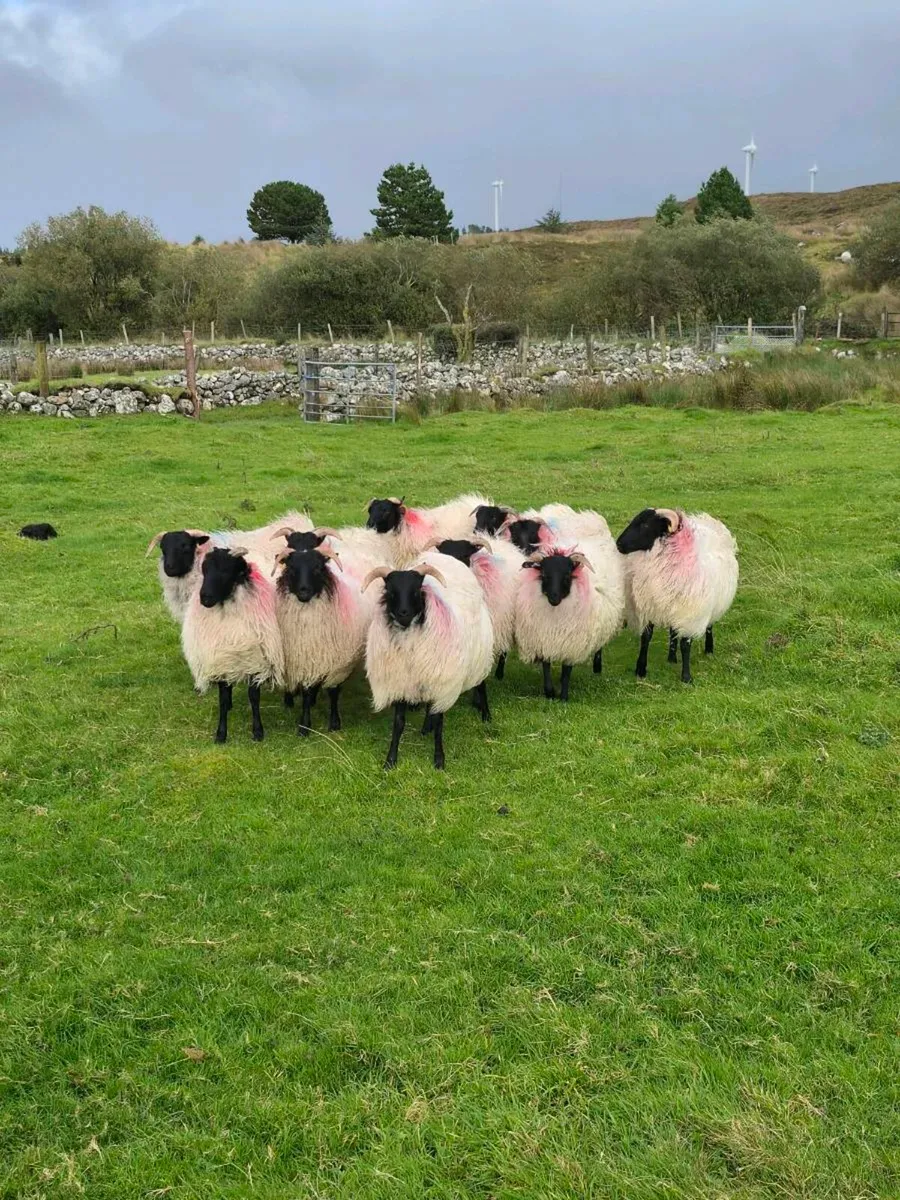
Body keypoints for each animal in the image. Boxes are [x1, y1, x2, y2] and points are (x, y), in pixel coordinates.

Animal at [181, 545, 284, 742]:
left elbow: (254, 697)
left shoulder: (256, 660)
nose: (205, 598)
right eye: (204, 569)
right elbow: (222, 698)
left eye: (227, 570)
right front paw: (221, 733)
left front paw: (258, 731)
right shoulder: (221, 659)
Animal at [271, 542, 379, 736]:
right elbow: (306, 693)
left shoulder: (339, 663)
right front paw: (304, 725)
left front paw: (334, 723)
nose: (304, 591)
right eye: (291, 568)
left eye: (317, 568)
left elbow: (333, 692)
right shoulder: (304, 659)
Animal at [362, 552, 494, 770]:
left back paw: (486, 716)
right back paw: (426, 727)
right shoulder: (401, 682)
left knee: (480, 684)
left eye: (416, 590)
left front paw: (439, 759)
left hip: (478, 656)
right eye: (391, 591)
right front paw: (390, 760)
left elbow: (440, 723)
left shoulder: (442, 683)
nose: (403, 613)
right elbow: (399, 723)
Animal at [514, 528, 626, 701]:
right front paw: (550, 693)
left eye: (567, 575)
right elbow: (546, 666)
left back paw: (597, 667)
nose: (554, 598)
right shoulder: (543, 637)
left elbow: (567, 671)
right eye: (544, 575)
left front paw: (564, 697)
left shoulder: (573, 641)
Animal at [616, 507, 738, 683]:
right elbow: (646, 638)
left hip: (711, 604)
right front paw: (640, 669)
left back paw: (709, 649)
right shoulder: (650, 606)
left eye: (645, 524)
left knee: (709, 626)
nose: (618, 544)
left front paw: (686, 677)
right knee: (673, 632)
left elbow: (685, 645)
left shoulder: (690, 614)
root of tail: (709, 520)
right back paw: (671, 658)